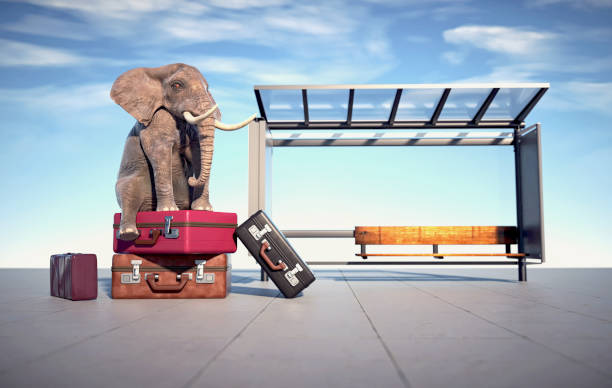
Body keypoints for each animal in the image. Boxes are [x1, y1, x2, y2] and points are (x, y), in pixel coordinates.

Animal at [110, 62, 253, 241]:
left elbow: (197, 153)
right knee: (128, 191)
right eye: (177, 85)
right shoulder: (156, 121)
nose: (191, 179)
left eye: (207, 88)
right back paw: (129, 233)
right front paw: (169, 211)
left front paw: (203, 210)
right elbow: (160, 153)